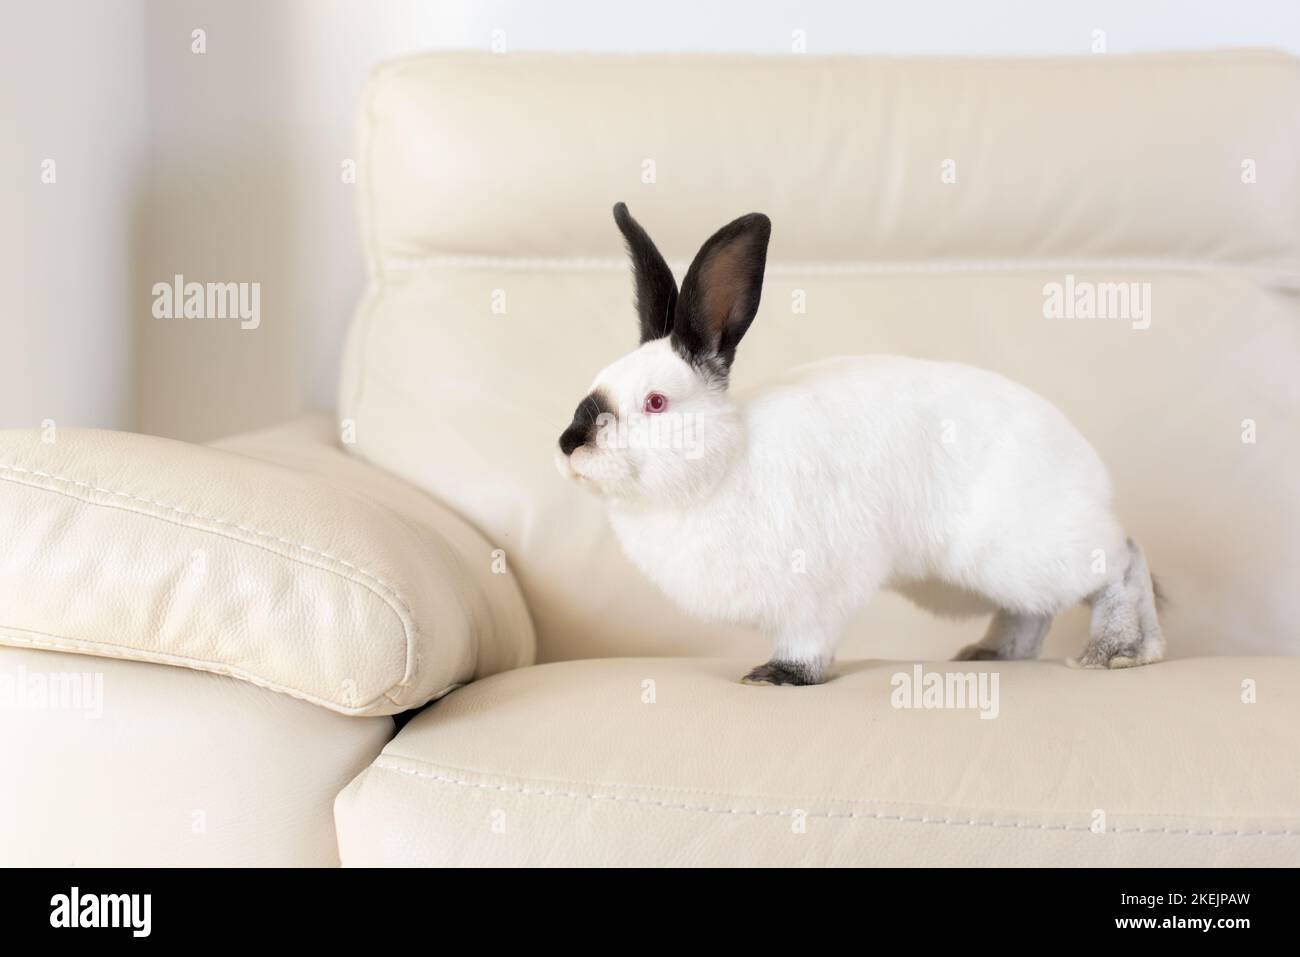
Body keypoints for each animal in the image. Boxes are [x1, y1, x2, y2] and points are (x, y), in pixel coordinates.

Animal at [555, 202, 1165, 686]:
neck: (723, 463)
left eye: (656, 402)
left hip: (1025, 549)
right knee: (1034, 610)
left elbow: (810, 638)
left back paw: (1121, 652)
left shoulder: (816, 589)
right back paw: (989, 654)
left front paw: (778, 675)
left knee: (1122, 562)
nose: (568, 443)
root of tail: (1089, 468)